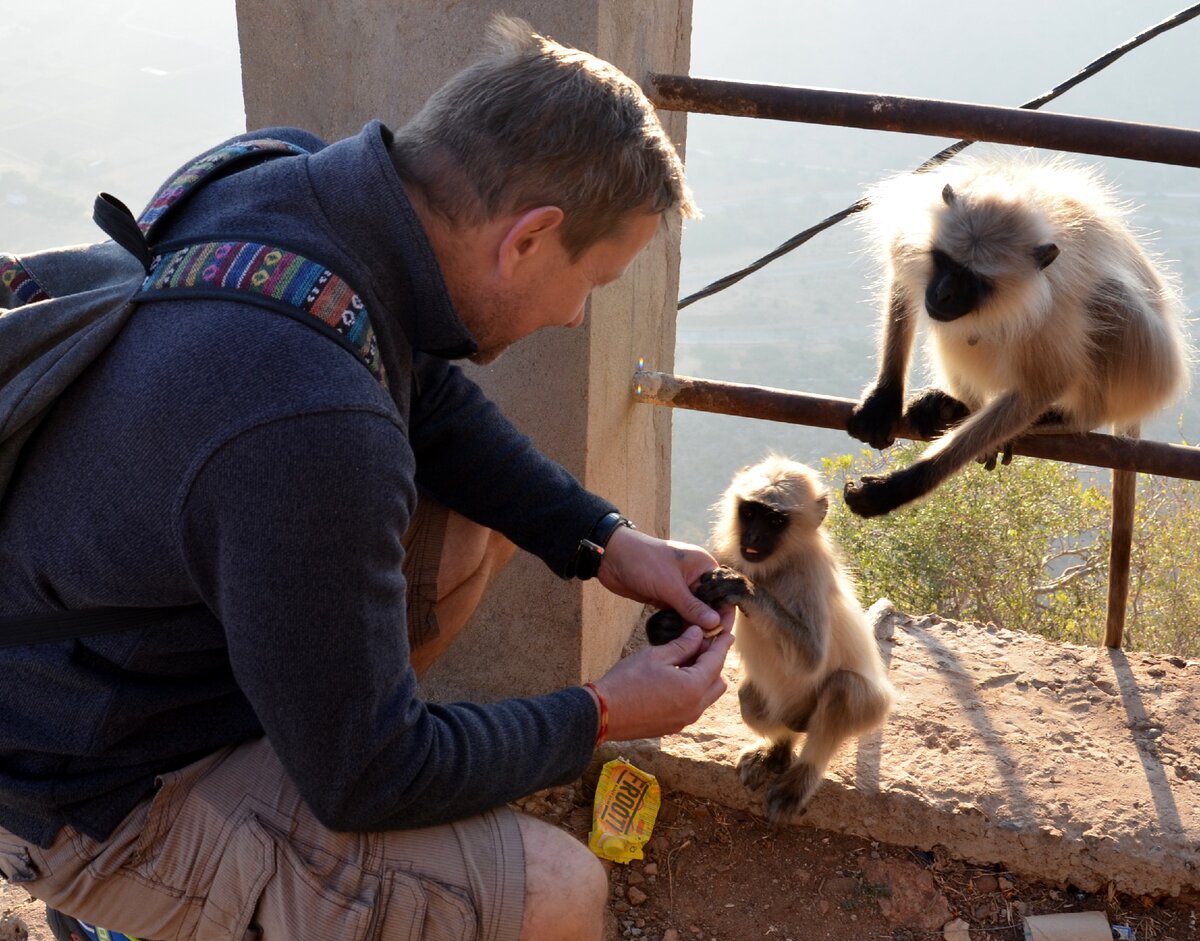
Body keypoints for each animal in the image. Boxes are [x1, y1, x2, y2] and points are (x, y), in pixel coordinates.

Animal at [648, 458, 892, 825]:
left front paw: (743, 588)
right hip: (786, 709)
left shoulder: (810, 573)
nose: (753, 537)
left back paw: (801, 779)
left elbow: (811, 658)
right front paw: (664, 626)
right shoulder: (725, 554)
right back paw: (777, 751)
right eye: (750, 512)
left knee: (843, 689)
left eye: (775, 521)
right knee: (751, 698)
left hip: (873, 708)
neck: (775, 567)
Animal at [844, 157, 1190, 518]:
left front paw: (901, 487)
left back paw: (1057, 419)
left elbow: (1045, 385)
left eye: (973, 280)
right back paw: (950, 406)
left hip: (1142, 371)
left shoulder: (1049, 306)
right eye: (943, 261)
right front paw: (884, 400)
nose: (941, 295)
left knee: (1109, 297)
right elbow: (901, 282)